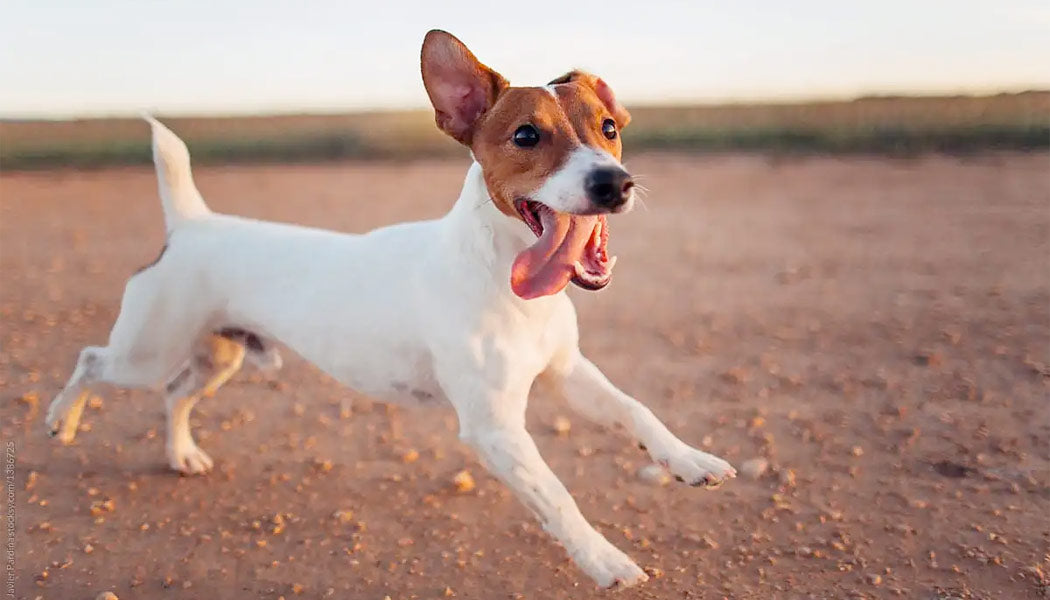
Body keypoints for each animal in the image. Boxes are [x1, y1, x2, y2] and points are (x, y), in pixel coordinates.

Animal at [45, 30, 734, 588]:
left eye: (609, 127)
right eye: (526, 135)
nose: (615, 184)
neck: (502, 276)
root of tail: (192, 223)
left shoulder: (569, 373)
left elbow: (637, 412)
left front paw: (689, 461)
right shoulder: (494, 427)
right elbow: (558, 496)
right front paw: (604, 560)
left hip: (220, 356)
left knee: (176, 394)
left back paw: (181, 454)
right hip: (144, 350)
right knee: (91, 360)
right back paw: (61, 420)